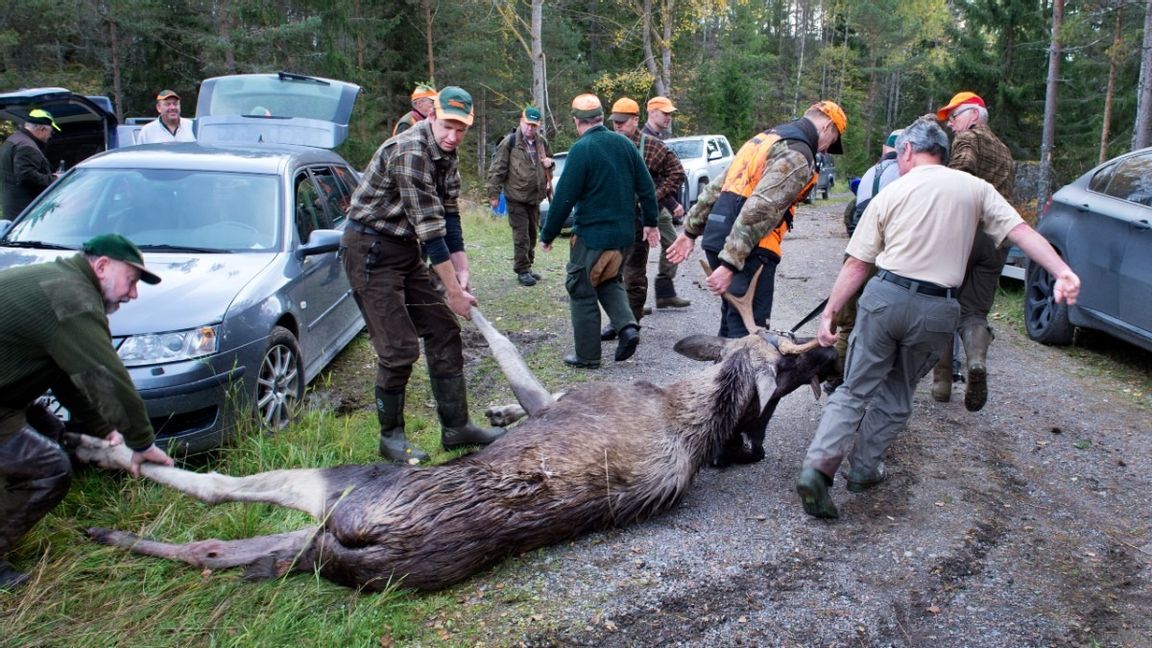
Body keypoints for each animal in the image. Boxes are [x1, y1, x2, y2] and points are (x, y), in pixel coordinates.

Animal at [78, 274, 838, 588]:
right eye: (786, 357)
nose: (823, 356)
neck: (696, 412)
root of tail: (368, 546)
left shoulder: (557, 395)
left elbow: (493, 337)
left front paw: (457, 294)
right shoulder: (552, 402)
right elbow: (504, 396)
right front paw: (493, 413)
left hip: (343, 489)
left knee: (211, 491)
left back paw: (104, 454)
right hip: (310, 543)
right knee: (211, 550)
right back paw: (102, 529)